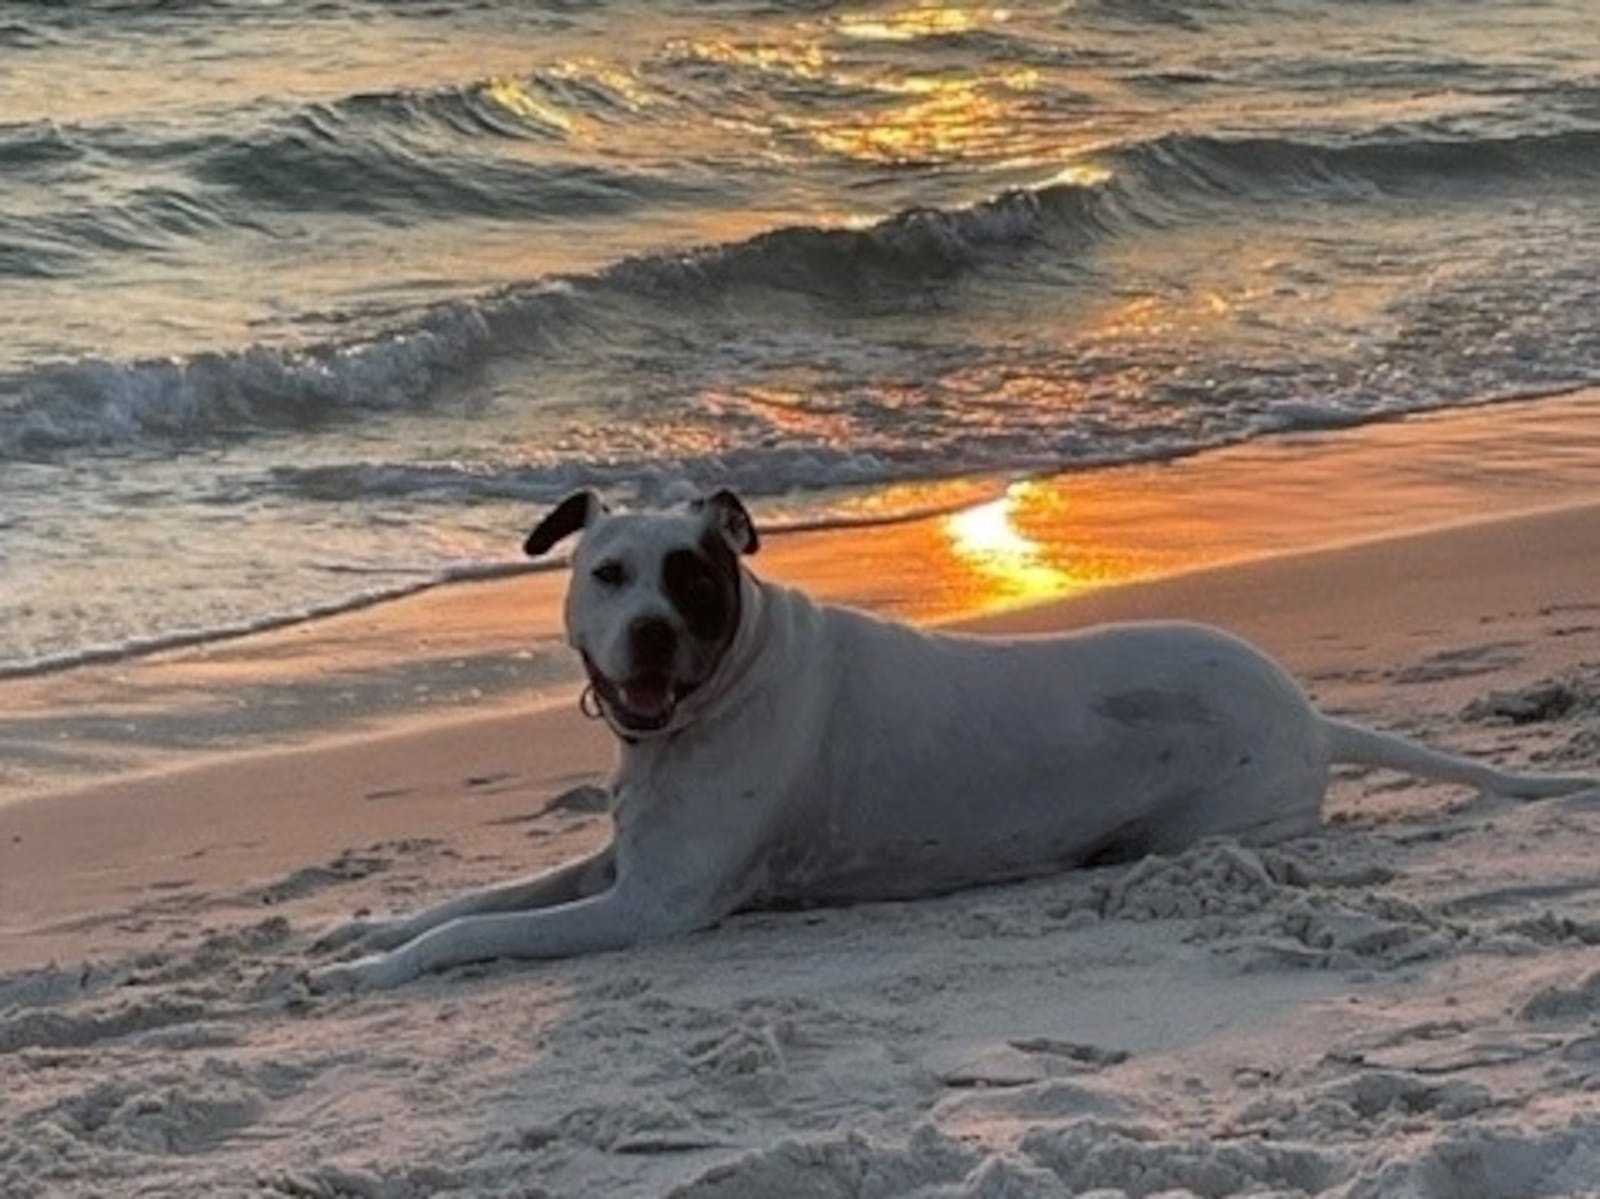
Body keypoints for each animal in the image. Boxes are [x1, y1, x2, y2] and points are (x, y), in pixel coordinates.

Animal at [308, 489, 1587, 992]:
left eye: (694, 577)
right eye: (608, 572)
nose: (651, 634)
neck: (726, 682)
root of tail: (1310, 706)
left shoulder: (647, 905)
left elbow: (471, 938)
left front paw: (375, 970)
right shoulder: (618, 862)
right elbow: (473, 899)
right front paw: (366, 928)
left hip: (1205, 823)